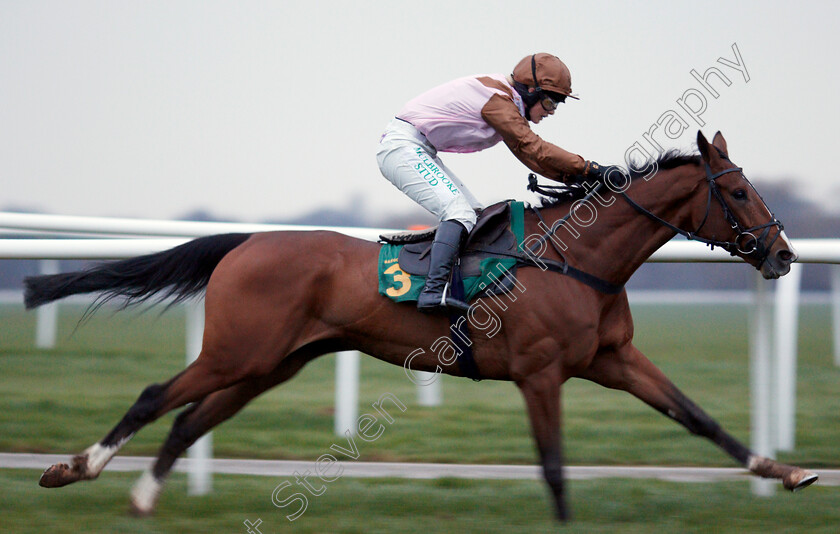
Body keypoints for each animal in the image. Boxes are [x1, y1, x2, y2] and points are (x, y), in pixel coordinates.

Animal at [24, 133, 812, 524]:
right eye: (738, 190)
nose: (783, 254)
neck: (574, 259)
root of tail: (246, 241)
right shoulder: (540, 373)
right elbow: (554, 465)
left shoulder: (612, 358)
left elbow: (699, 418)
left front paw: (783, 471)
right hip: (236, 350)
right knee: (157, 395)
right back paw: (75, 469)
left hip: (271, 362)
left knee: (192, 419)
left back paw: (142, 498)